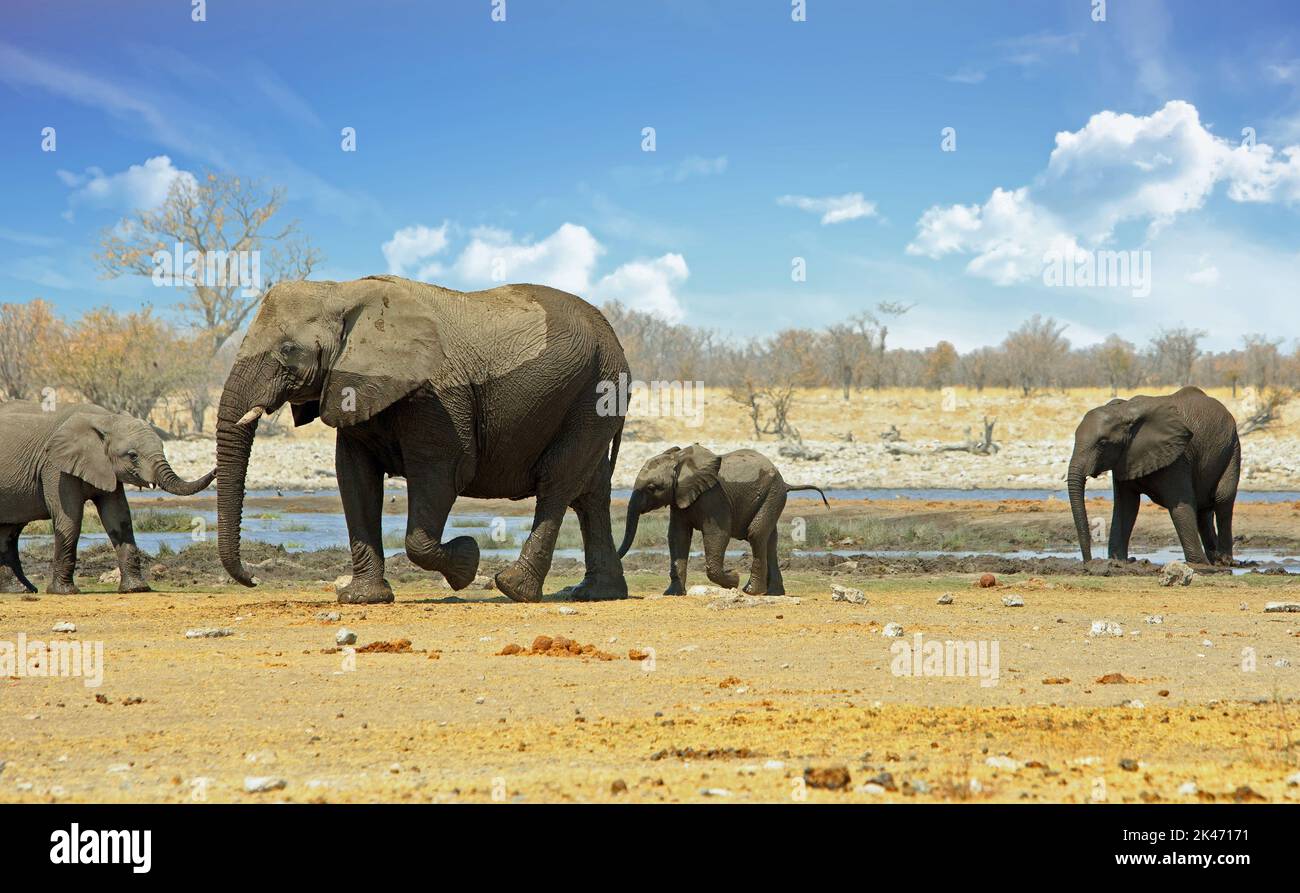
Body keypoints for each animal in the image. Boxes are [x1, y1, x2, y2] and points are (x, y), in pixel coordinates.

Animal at [0, 402, 215, 597]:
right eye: (133, 456)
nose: (215, 470)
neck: (106, 418)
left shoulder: (107, 468)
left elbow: (118, 517)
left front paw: (136, 589)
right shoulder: (55, 467)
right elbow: (70, 519)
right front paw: (63, 592)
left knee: (9, 531)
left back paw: (20, 590)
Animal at [214, 275, 629, 603]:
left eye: (288, 350)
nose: (253, 579)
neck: (340, 291)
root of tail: (612, 336)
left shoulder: (436, 397)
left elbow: (441, 473)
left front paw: (467, 561)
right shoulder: (351, 386)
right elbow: (354, 477)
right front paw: (364, 599)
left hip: (593, 393)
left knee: (557, 484)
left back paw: (514, 589)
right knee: (591, 493)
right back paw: (596, 593)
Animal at [616, 444, 821, 597]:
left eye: (651, 488)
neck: (680, 462)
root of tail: (785, 482)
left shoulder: (714, 497)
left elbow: (717, 534)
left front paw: (734, 578)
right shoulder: (679, 497)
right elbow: (677, 536)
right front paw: (673, 594)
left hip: (773, 494)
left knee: (755, 533)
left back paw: (751, 591)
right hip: (772, 497)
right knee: (770, 540)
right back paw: (774, 593)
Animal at [1066, 384, 1237, 566]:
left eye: (1102, 443)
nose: (1089, 562)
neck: (1124, 412)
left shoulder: (1177, 456)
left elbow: (1180, 504)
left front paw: (1198, 564)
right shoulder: (1125, 458)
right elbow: (1126, 506)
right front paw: (1118, 561)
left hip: (1232, 447)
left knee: (1223, 498)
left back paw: (1224, 561)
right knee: (1204, 509)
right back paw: (1215, 559)